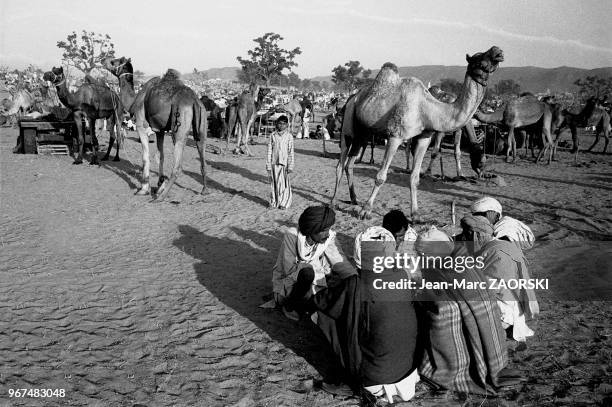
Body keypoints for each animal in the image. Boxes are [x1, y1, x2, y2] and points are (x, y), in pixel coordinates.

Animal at [104, 56, 209, 201]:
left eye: (115, 61)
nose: (104, 61)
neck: (134, 101)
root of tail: (194, 100)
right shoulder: (160, 130)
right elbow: (160, 155)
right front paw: (160, 184)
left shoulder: (141, 124)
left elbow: (145, 156)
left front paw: (144, 188)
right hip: (202, 121)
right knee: (202, 152)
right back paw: (204, 190)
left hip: (179, 122)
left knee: (178, 164)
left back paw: (161, 198)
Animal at [330, 45, 502, 220]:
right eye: (479, 59)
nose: (498, 51)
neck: (427, 109)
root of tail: (352, 97)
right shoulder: (395, 136)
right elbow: (380, 177)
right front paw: (366, 211)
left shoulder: (424, 138)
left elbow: (414, 178)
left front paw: (415, 215)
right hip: (348, 127)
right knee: (340, 163)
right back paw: (333, 202)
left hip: (362, 134)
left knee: (350, 164)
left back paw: (354, 199)